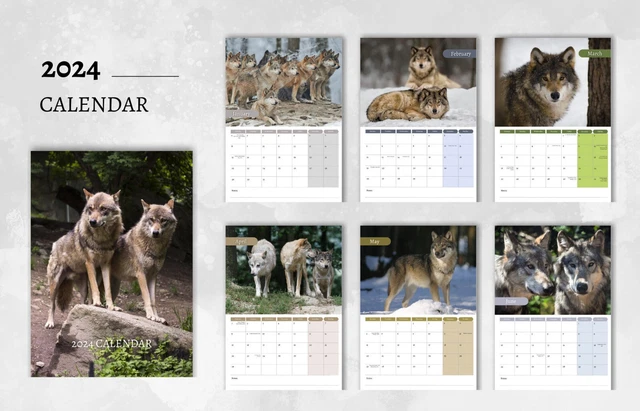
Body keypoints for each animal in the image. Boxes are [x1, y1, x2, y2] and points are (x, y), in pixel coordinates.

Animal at [44, 189, 123, 329]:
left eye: (103, 209)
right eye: (91, 209)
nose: (92, 221)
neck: (101, 241)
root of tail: (54, 244)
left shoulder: (106, 265)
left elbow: (107, 290)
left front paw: (111, 307)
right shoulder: (90, 263)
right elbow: (96, 289)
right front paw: (97, 303)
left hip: (84, 288)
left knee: (82, 303)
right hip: (55, 284)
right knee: (52, 305)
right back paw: (50, 322)